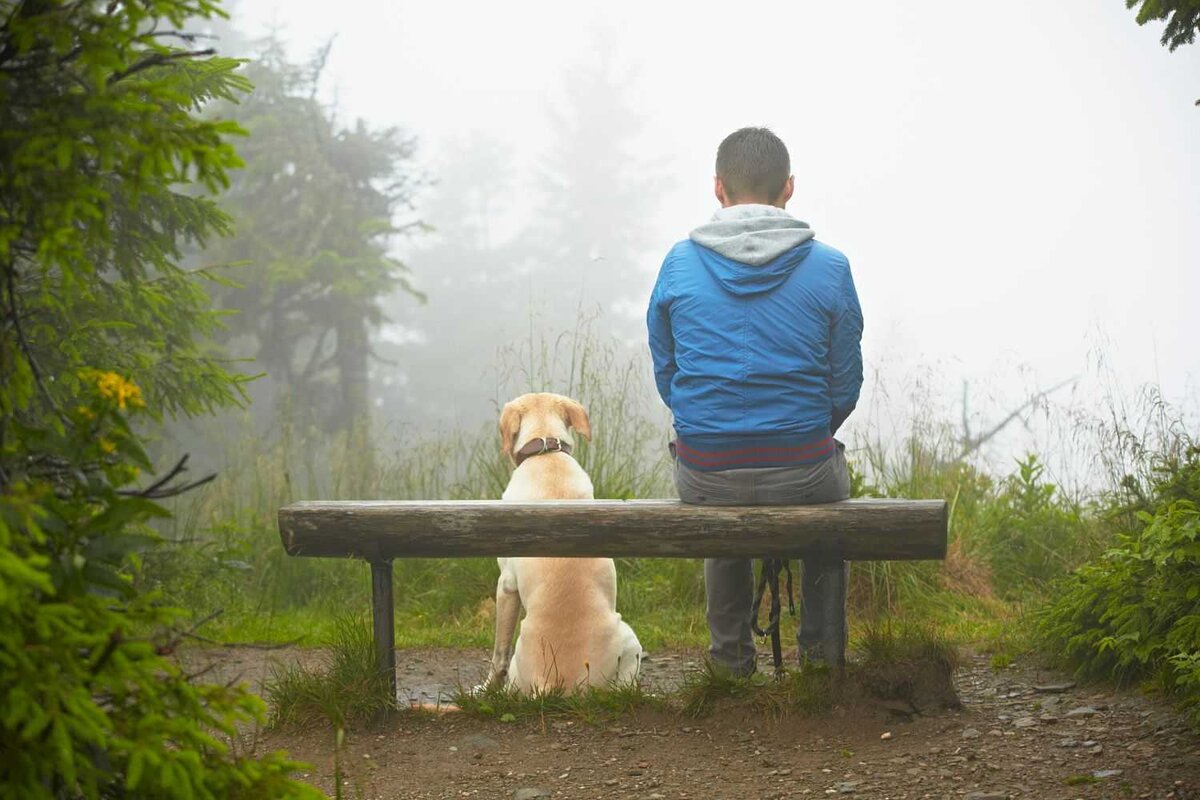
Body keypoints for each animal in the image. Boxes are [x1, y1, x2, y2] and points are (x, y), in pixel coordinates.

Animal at [482, 391, 643, 690]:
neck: (546, 453)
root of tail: (553, 684)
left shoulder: (506, 585)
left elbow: (498, 653)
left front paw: (485, 689)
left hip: (628, 636)